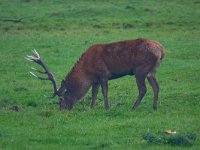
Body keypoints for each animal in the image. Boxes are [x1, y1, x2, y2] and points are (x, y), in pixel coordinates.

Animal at [25, 38, 165, 111]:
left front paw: (107, 108)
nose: (62, 110)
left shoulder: (103, 74)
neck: (87, 70)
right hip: (152, 71)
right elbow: (94, 93)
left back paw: (133, 108)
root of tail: (162, 50)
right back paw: (154, 107)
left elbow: (104, 92)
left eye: (62, 98)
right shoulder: (95, 79)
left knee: (143, 89)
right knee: (156, 87)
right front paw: (91, 108)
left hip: (140, 70)